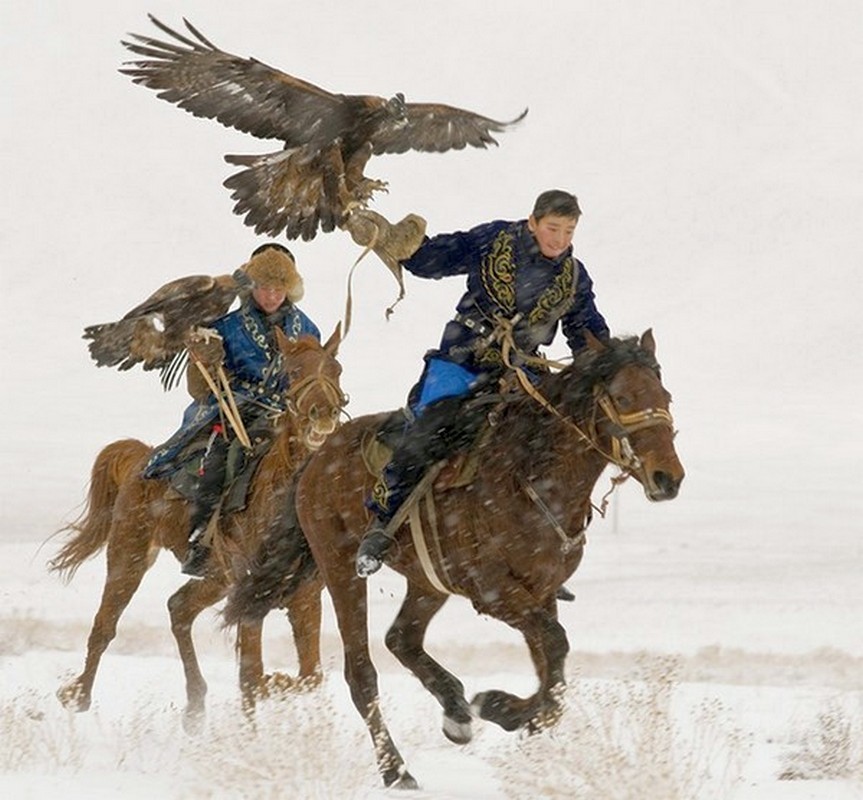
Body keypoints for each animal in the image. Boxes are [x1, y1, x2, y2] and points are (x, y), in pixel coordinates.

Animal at [50, 324, 344, 724]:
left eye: (336, 370)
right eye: (294, 371)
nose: (323, 414)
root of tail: (142, 457)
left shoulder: (305, 596)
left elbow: (308, 675)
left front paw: (276, 685)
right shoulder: (248, 595)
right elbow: (252, 678)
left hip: (214, 578)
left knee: (178, 608)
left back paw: (195, 706)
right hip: (129, 554)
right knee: (105, 625)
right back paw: (78, 694)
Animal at [226, 330, 684, 788]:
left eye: (665, 395)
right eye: (622, 397)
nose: (669, 478)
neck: (531, 474)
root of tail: (315, 459)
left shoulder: (541, 590)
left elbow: (550, 667)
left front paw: (510, 712)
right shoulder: (495, 593)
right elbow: (555, 645)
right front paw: (503, 708)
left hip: (428, 581)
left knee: (401, 638)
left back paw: (456, 710)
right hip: (340, 569)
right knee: (361, 673)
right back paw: (396, 770)